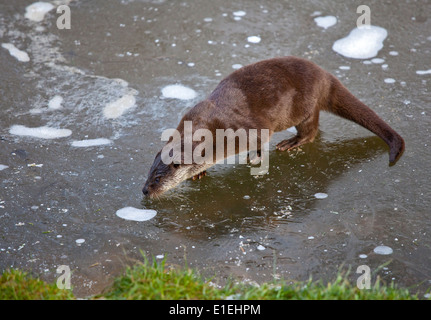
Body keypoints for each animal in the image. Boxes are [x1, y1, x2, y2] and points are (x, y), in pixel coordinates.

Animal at [142, 56, 404, 199]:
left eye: (157, 179)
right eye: (147, 174)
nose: (145, 191)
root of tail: (325, 77)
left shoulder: (245, 130)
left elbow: (260, 140)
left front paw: (255, 158)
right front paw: (200, 172)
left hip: (304, 106)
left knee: (311, 129)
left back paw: (291, 142)